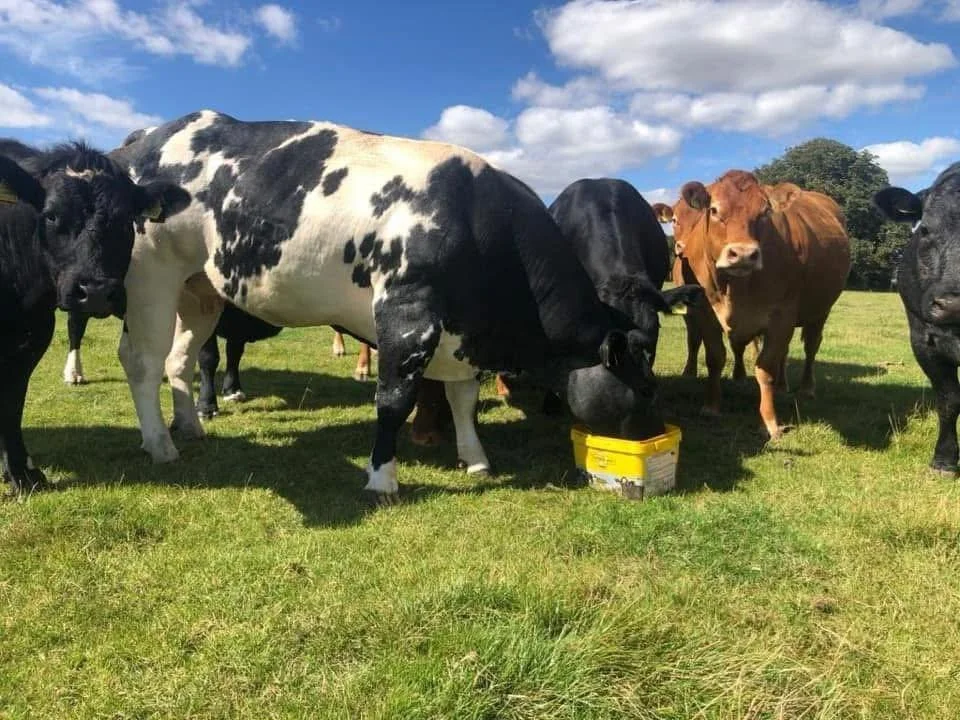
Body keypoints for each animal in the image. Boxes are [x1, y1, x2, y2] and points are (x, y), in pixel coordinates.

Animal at [0, 141, 188, 495]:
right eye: (51, 214)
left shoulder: (31, 342)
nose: (96, 291)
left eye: (126, 219)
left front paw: (22, 475)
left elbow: (11, 407)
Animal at [108, 110, 666, 502]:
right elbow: (394, 401)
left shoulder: (461, 332)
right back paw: (161, 445)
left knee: (179, 359)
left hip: (198, 290)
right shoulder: (407, 313)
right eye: (639, 387)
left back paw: (190, 426)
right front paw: (382, 477)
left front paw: (476, 458)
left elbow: (463, 399)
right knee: (142, 362)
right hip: (149, 275)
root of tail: (147, 139)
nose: (651, 436)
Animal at [654, 170, 850, 439]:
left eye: (765, 212)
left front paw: (769, 422)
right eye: (714, 210)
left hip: (820, 311)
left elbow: (765, 367)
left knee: (811, 347)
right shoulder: (704, 312)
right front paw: (711, 406)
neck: (736, 287)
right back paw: (780, 385)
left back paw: (805, 388)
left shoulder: (782, 316)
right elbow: (715, 357)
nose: (744, 254)